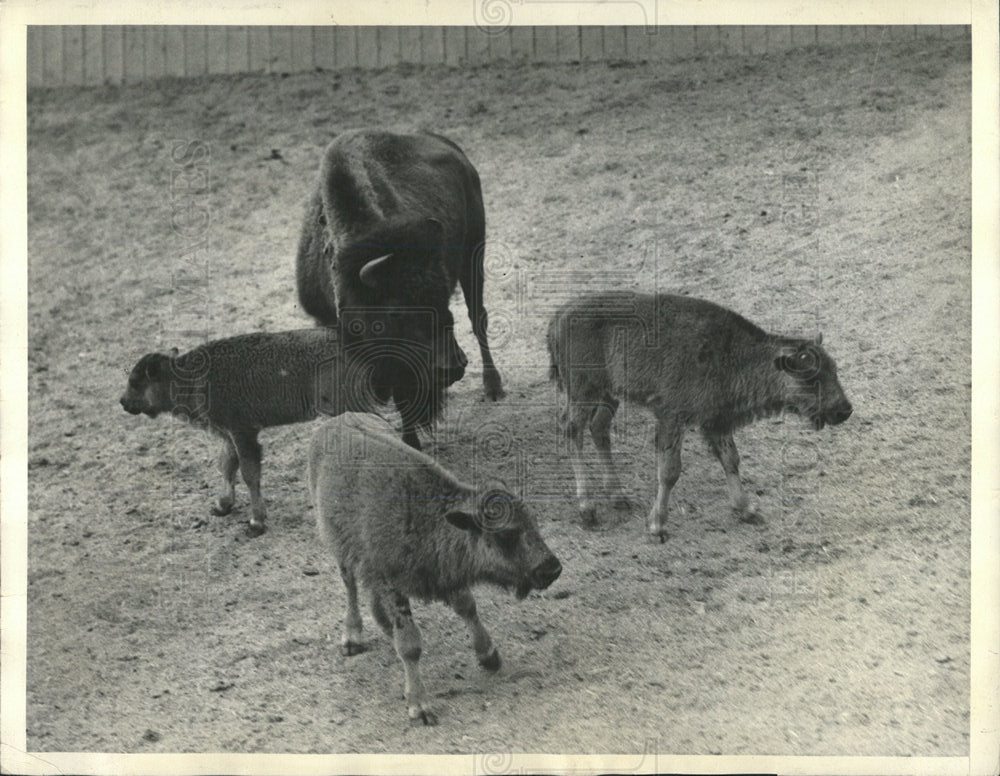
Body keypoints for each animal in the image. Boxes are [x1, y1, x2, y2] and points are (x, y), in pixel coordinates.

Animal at [121, 326, 372, 532]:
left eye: (135, 382)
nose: (123, 402)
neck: (192, 378)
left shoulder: (243, 434)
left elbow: (249, 473)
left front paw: (256, 522)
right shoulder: (228, 435)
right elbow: (227, 466)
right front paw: (222, 506)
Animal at [292, 129, 504, 448]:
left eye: (441, 299)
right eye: (395, 312)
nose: (453, 366)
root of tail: (450, 146)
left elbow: (404, 395)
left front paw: (411, 442)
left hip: (474, 253)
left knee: (478, 318)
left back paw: (493, 387)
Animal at [308, 416, 564, 724]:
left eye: (533, 522)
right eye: (506, 535)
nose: (551, 569)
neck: (431, 517)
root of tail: (331, 423)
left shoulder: (447, 577)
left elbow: (468, 608)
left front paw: (489, 656)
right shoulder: (394, 584)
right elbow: (410, 645)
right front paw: (419, 705)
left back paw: (383, 626)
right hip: (339, 549)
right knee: (351, 588)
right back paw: (352, 638)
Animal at [548, 290, 852, 540]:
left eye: (834, 369)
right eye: (809, 377)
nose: (844, 409)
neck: (730, 353)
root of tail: (560, 315)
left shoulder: (717, 422)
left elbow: (731, 460)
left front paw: (748, 510)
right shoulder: (673, 419)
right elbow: (670, 471)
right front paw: (657, 526)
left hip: (608, 396)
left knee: (598, 429)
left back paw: (618, 496)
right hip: (584, 392)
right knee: (571, 430)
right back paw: (587, 510)